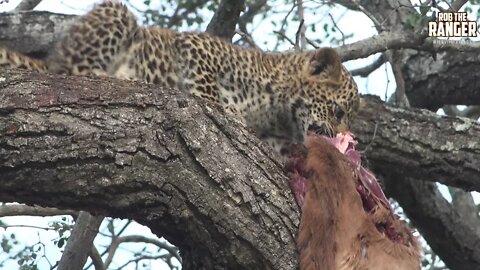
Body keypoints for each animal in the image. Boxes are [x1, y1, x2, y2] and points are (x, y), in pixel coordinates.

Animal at [0, 1, 358, 156]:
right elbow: (208, 89)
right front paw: (226, 110)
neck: (279, 111)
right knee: (71, 71)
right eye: (338, 111)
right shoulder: (196, 46)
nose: (345, 135)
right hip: (116, 13)